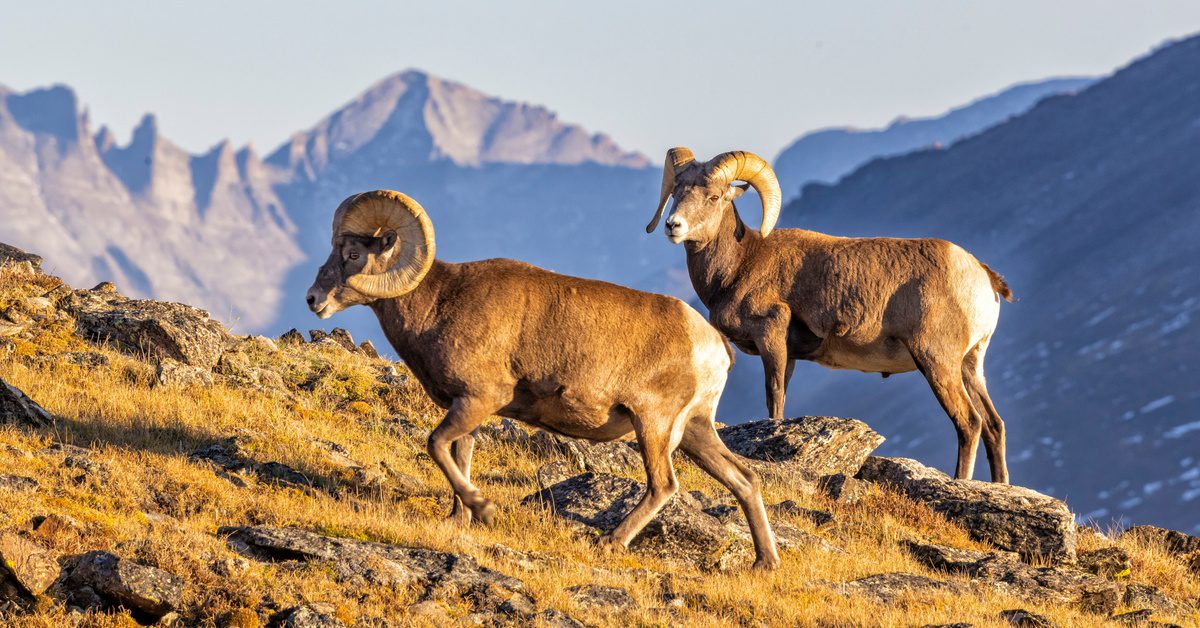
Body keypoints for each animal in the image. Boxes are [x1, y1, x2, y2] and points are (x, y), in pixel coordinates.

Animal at [306, 190, 781, 569]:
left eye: (352, 255)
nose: (313, 300)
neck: (438, 303)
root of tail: (713, 345)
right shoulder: (467, 410)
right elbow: (457, 455)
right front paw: (458, 519)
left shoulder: (480, 399)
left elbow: (436, 445)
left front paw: (484, 509)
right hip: (695, 432)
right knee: (744, 480)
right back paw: (764, 563)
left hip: (655, 426)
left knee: (663, 485)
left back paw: (608, 543)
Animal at [645, 148, 1014, 483]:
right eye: (676, 192)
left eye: (714, 196)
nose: (673, 226)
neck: (740, 264)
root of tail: (982, 275)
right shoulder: (790, 355)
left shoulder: (771, 338)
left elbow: (774, 397)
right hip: (970, 365)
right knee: (994, 425)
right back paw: (999, 484)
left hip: (937, 361)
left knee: (969, 422)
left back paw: (960, 481)